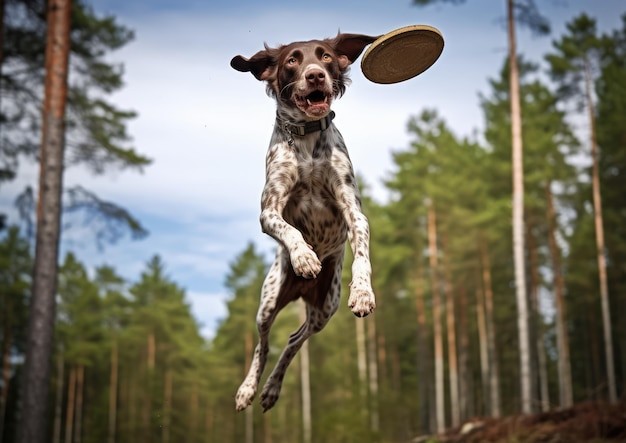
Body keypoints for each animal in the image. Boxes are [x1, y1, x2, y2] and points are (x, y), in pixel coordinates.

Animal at [229, 33, 376, 412]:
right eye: (292, 61)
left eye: (324, 57)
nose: (315, 75)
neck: (307, 138)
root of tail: (301, 292)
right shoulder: (269, 210)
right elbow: (290, 229)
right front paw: (305, 257)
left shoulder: (354, 211)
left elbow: (363, 257)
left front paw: (363, 292)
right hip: (268, 303)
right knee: (263, 345)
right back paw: (249, 388)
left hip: (324, 308)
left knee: (294, 340)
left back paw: (272, 388)